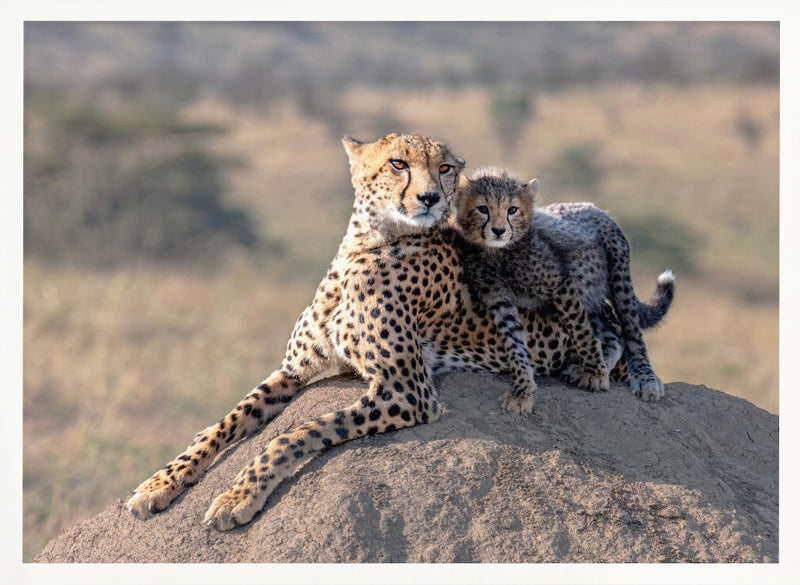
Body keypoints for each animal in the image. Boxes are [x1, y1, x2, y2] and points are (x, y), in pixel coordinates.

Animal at [128, 132, 632, 528]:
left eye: (444, 168)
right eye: (398, 163)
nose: (430, 198)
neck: (366, 244)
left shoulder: (408, 391)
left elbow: (298, 432)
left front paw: (239, 495)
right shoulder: (292, 370)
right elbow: (225, 422)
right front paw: (161, 482)